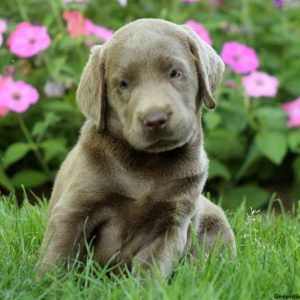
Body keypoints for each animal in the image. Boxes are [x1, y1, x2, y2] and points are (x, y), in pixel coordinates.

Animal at [39, 18, 236, 276]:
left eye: (175, 73)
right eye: (123, 84)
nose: (155, 119)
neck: (146, 164)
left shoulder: (172, 222)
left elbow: (152, 268)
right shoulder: (74, 208)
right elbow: (58, 253)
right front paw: (47, 282)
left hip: (216, 222)